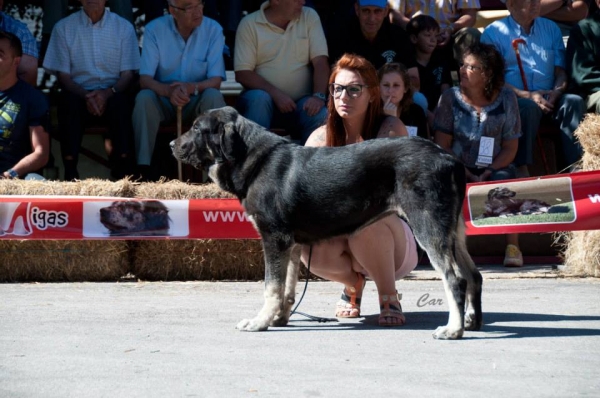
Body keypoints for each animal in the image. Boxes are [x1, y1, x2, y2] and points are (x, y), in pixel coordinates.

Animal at [170, 105, 482, 338]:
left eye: (197, 128)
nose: (172, 143)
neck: (253, 160)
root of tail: (449, 159)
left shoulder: (274, 238)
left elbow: (271, 287)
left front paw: (260, 322)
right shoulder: (291, 245)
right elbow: (287, 288)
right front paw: (279, 318)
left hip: (428, 226)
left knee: (454, 278)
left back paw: (453, 330)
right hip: (452, 231)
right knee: (473, 275)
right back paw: (472, 322)